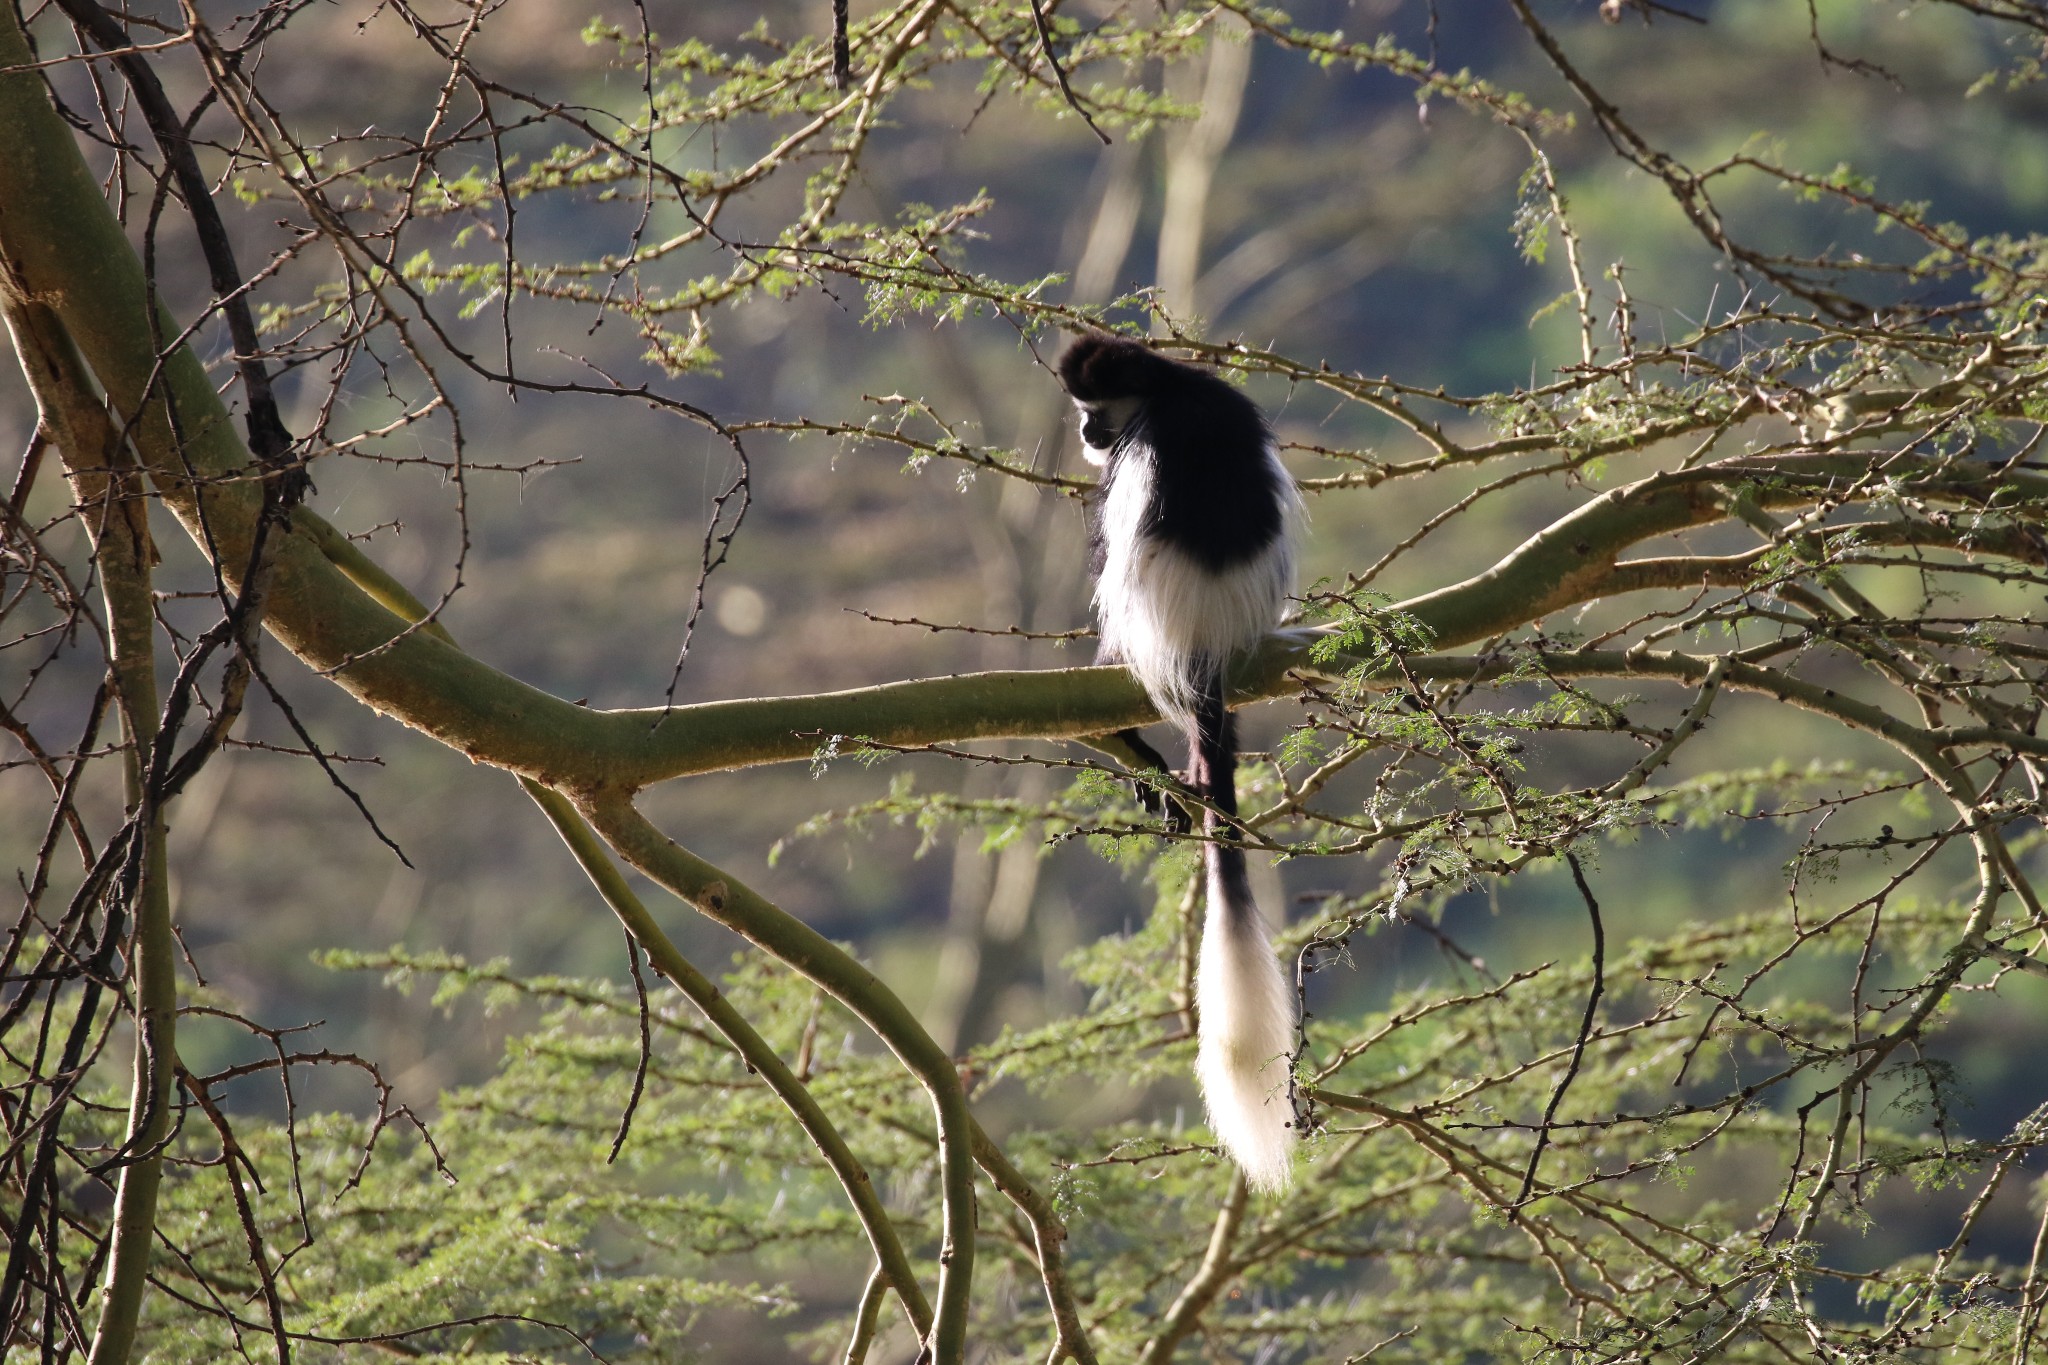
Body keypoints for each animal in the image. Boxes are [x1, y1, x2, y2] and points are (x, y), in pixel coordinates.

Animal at [1064, 333, 1302, 1195]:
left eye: (1096, 410)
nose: (1087, 434)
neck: (1166, 388)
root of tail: (1206, 636)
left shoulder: (1137, 453)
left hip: (1143, 615)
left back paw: (1125, 745)